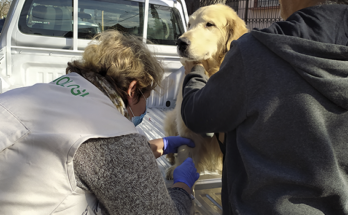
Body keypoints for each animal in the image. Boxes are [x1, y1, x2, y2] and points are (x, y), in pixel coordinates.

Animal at [163, 4, 247, 180]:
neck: (210, 72)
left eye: (210, 24)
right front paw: (178, 172)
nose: (180, 42)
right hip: (172, 118)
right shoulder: (188, 130)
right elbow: (185, 155)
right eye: (189, 24)